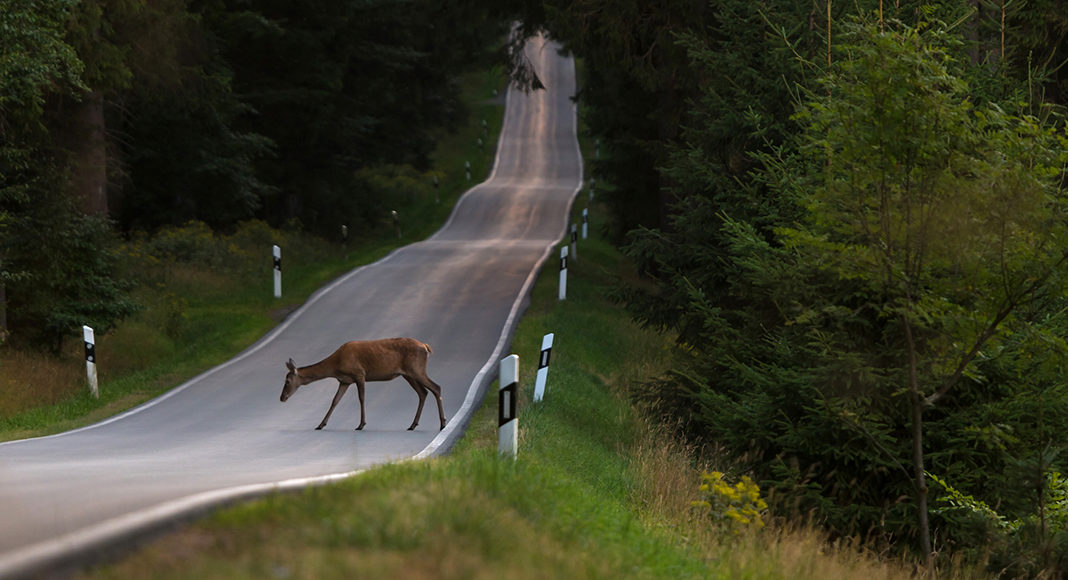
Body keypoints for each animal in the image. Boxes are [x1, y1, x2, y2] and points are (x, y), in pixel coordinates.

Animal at [280, 337, 447, 432]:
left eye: (287, 381)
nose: (282, 398)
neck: (335, 365)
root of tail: (425, 347)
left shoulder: (359, 374)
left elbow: (361, 398)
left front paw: (361, 424)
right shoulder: (344, 381)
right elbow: (335, 401)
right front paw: (320, 424)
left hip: (416, 369)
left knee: (436, 387)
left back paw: (442, 424)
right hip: (408, 374)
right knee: (423, 392)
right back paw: (413, 425)